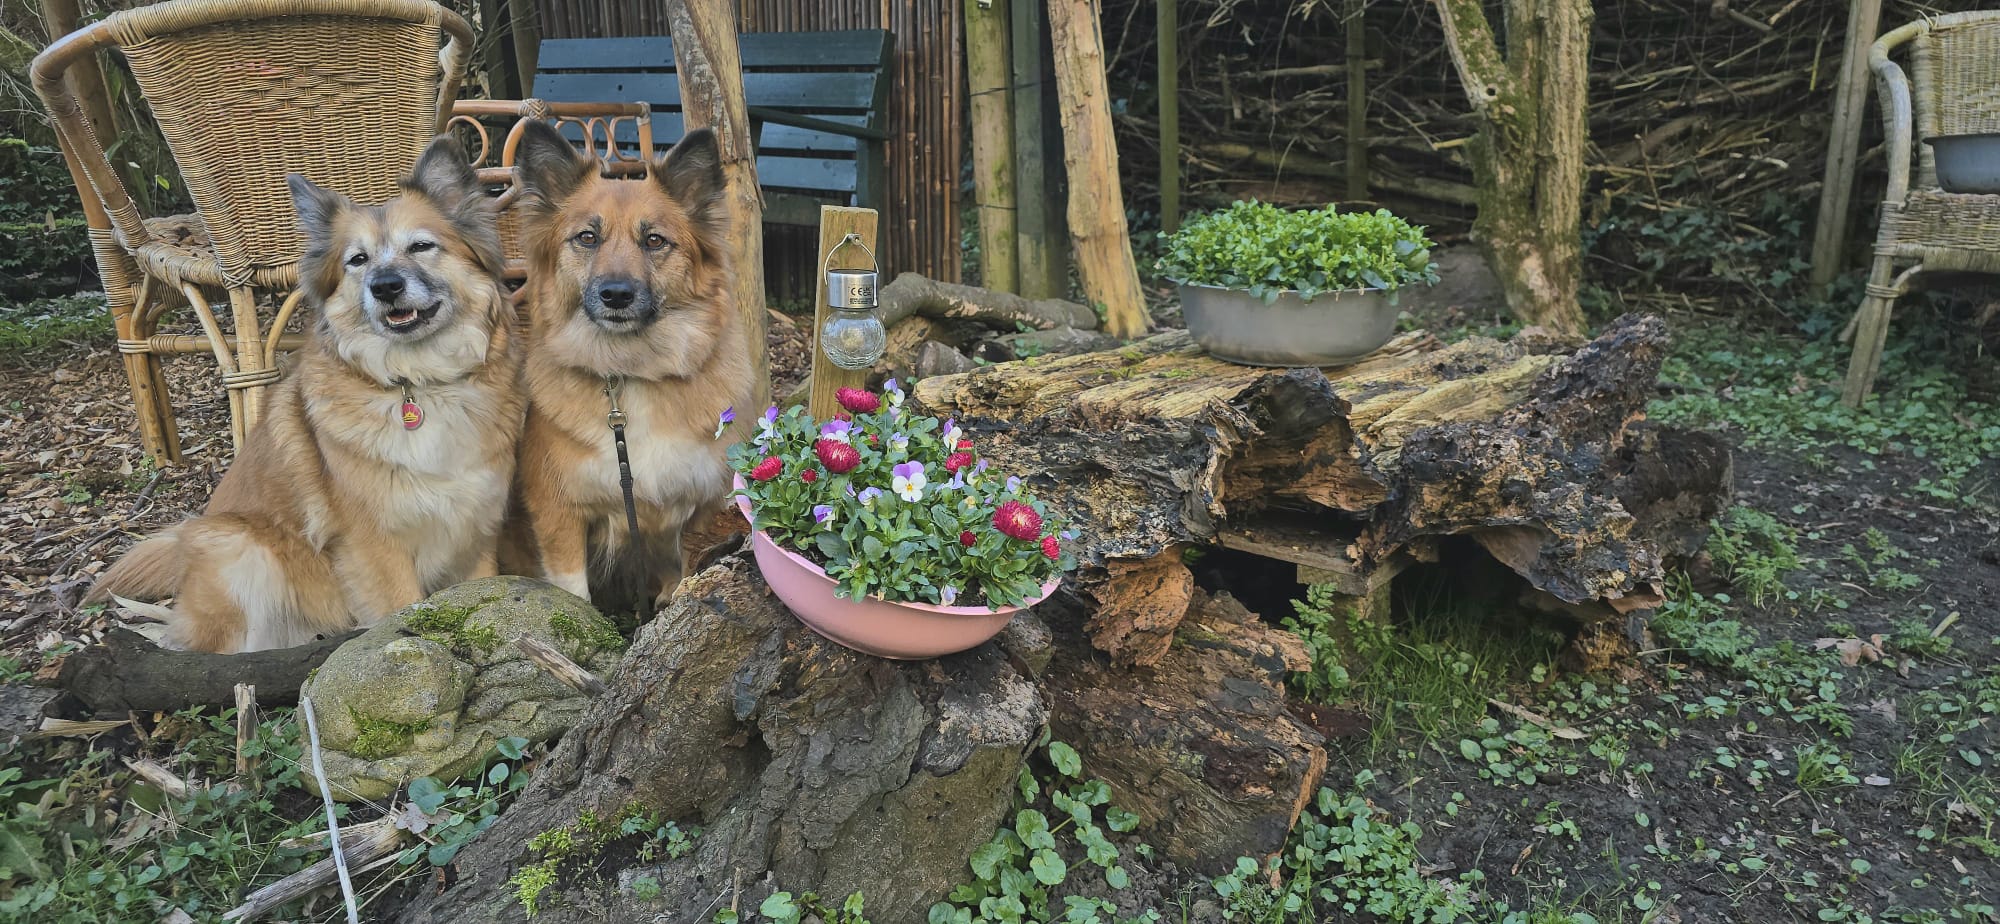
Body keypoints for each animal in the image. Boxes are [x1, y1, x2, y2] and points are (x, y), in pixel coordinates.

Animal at [86, 139, 524, 656]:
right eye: (358, 260)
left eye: (421, 245)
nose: (385, 287)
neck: (417, 384)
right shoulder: (375, 548)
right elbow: (400, 608)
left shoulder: (474, 533)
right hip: (242, 552)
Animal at [504, 121, 752, 612]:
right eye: (587, 237)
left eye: (654, 240)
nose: (616, 295)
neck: (633, 371)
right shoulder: (558, 511)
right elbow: (574, 590)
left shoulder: (698, 506)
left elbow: (682, 568)